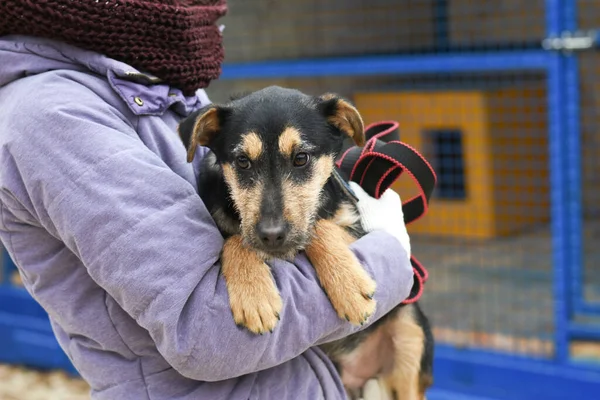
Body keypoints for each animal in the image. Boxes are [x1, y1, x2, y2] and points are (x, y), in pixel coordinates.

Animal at [179, 86, 436, 398]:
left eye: (301, 158)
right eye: (242, 162)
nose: (272, 235)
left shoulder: (359, 225)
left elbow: (318, 227)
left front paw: (349, 287)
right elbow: (237, 239)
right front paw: (254, 296)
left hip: (411, 332)